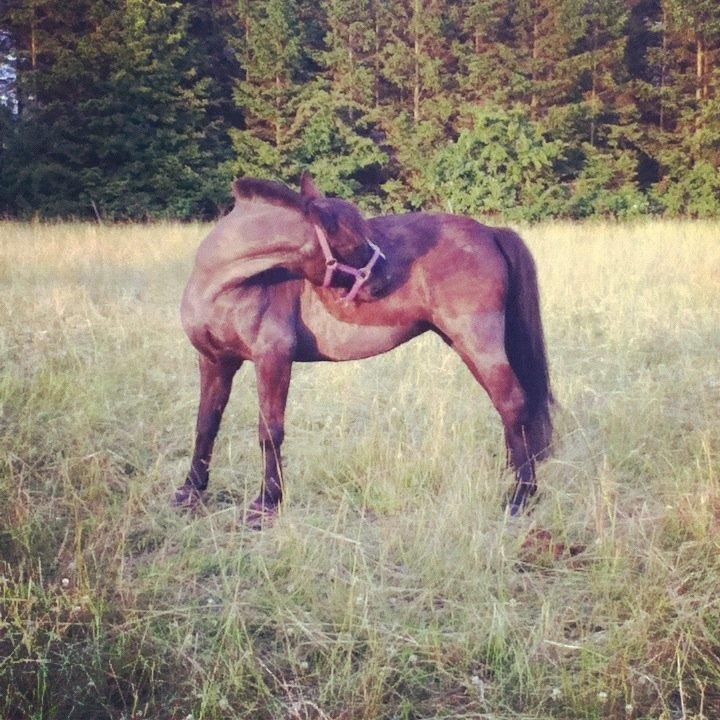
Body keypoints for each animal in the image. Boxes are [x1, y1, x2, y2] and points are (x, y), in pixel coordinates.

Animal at [176, 172, 552, 524]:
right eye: (344, 234)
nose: (384, 278)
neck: (222, 286)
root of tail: (489, 232)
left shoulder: (272, 359)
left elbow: (270, 430)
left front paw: (266, 503)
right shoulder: (214, 361)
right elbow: (206, 423)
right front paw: (190, 490)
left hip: (478, 343)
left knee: (512, 403)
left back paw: (521, 495)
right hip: (466, 346)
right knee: (506, 407)